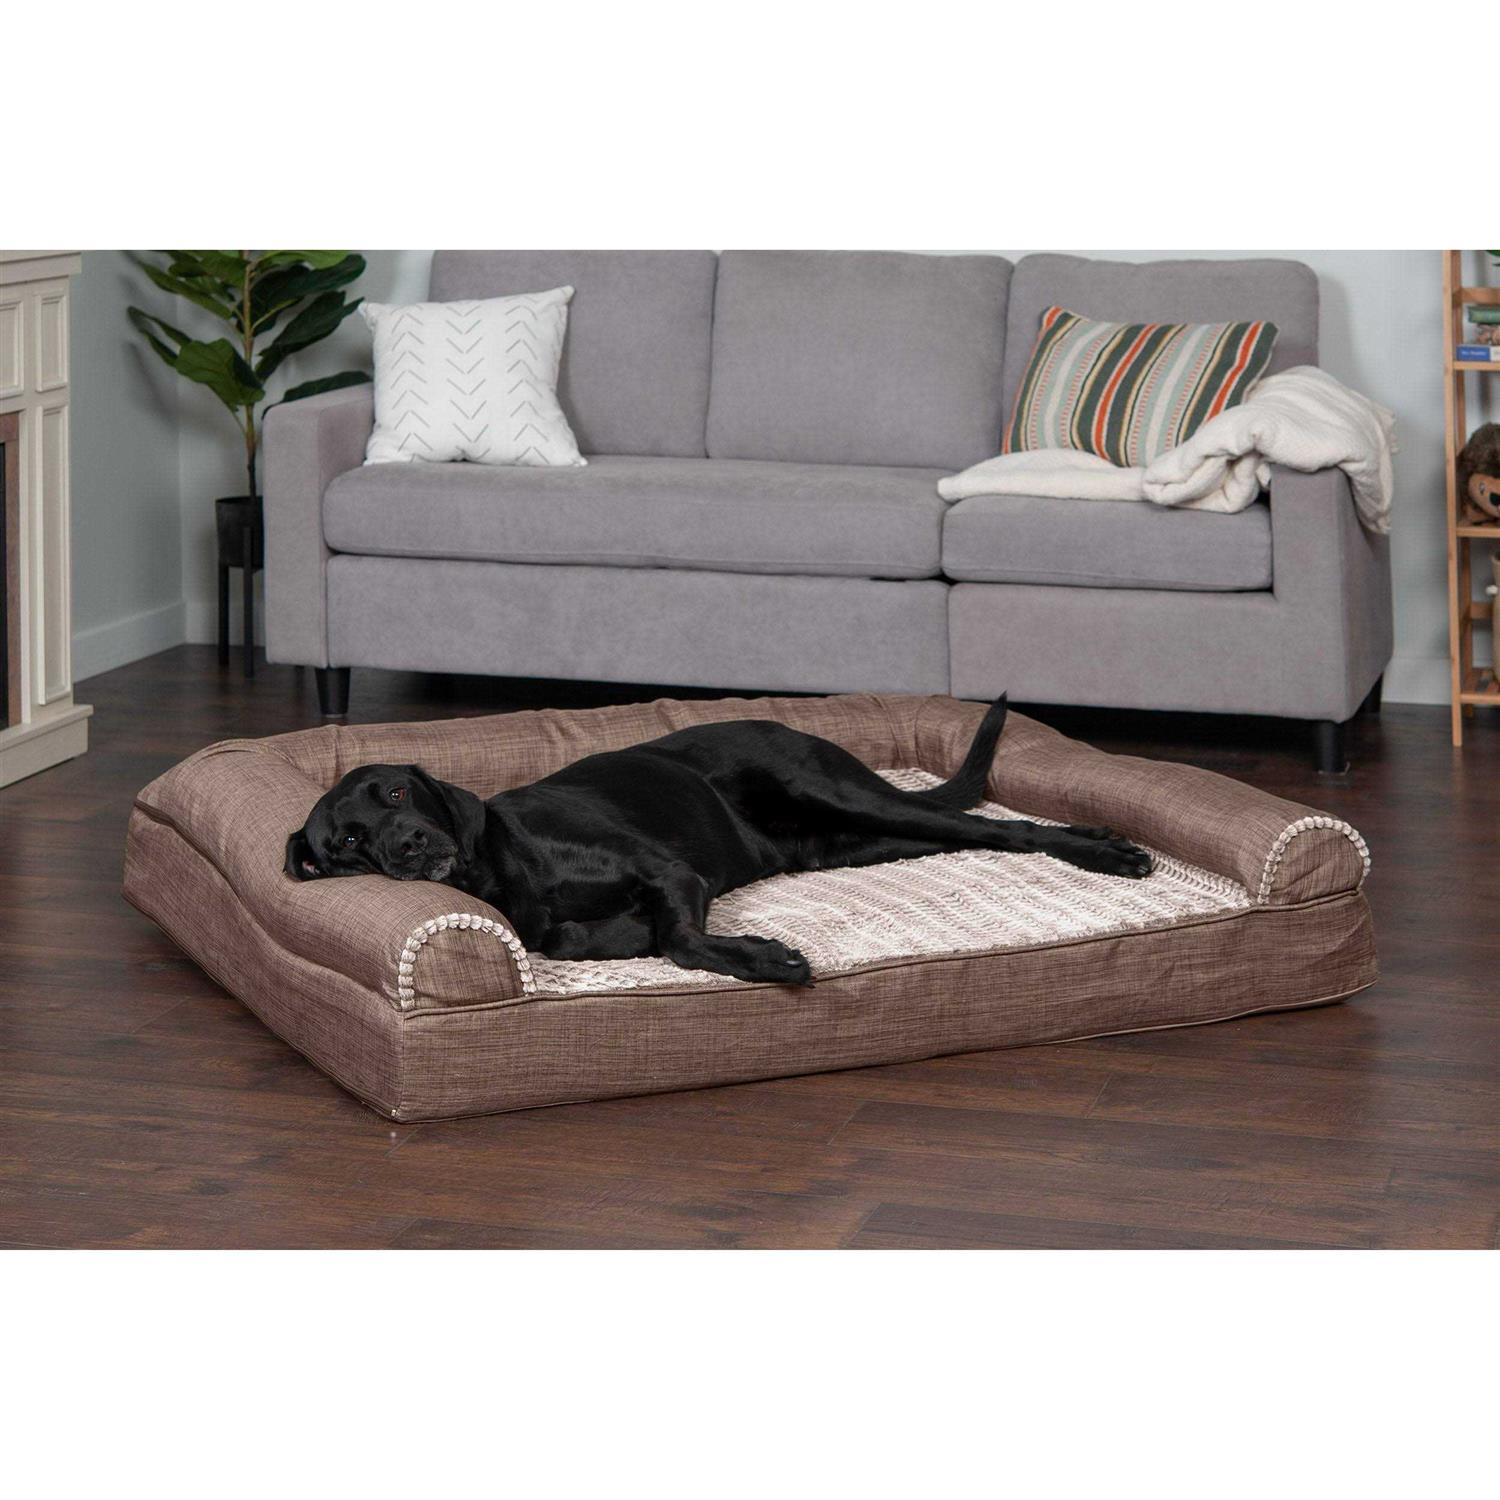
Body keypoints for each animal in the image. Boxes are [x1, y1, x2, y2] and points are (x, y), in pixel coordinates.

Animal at [284, 696, 1152, 985]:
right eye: (348, 841)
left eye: (398, 793)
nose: (405, 846)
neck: (499, 876)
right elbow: (656, 940)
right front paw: (760, 955)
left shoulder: (671, 874)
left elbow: (680, 940)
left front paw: (766, 958)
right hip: (858, 842)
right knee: (983, 836)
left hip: (848, 796)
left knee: (997, 825)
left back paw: (1110, 852)